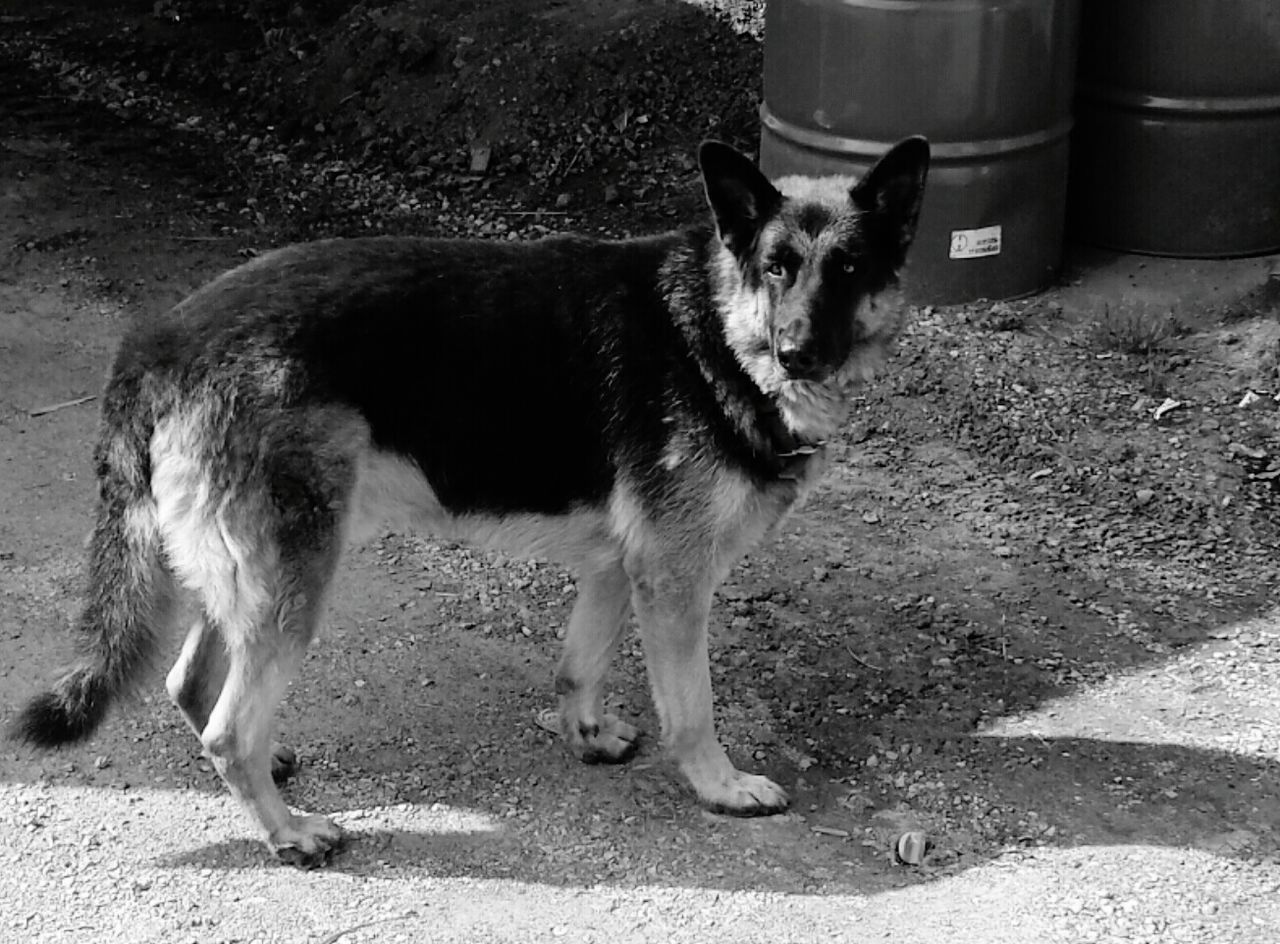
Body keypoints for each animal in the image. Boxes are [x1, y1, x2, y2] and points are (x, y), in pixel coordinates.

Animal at [12, 136, 931, 864]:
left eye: (848, 269)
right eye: (777, 267)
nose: (797, 352)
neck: (710, 325)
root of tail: (162, 339)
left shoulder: (620, 566)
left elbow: (578, 667)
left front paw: (586, 735)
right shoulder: (674, 581)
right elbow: (692, 709)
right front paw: (721, 786)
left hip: (251, 573)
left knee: (192, 682)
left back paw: (270, 774)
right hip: (293, 579)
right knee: (228, 727)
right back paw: (290, 832)